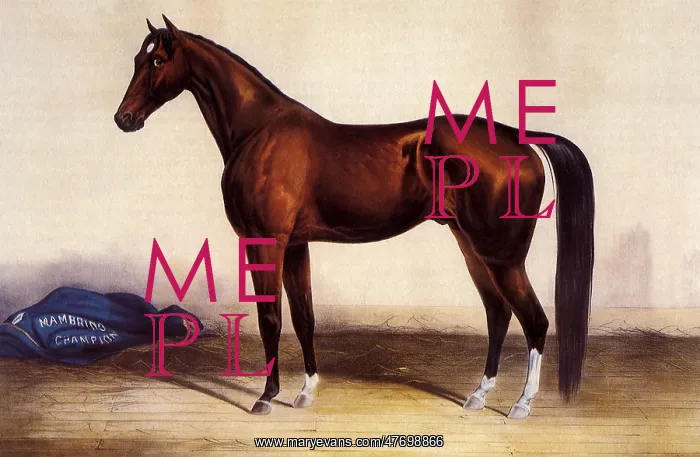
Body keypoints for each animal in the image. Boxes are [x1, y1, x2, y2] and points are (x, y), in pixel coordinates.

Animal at [115, 16, 594, 419]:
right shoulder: (296, 244)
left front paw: (267, 397)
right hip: (472, 247)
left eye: (157, 60)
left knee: (534, 320)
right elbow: (304, 317)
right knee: (498, 315)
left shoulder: (266, 241)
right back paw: (478, 395)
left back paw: (521, 404)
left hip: (501, 255)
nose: (124, 118)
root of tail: (519, 138)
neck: (259, 130)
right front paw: (305, 391)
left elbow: (271, 318)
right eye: (137, 58)